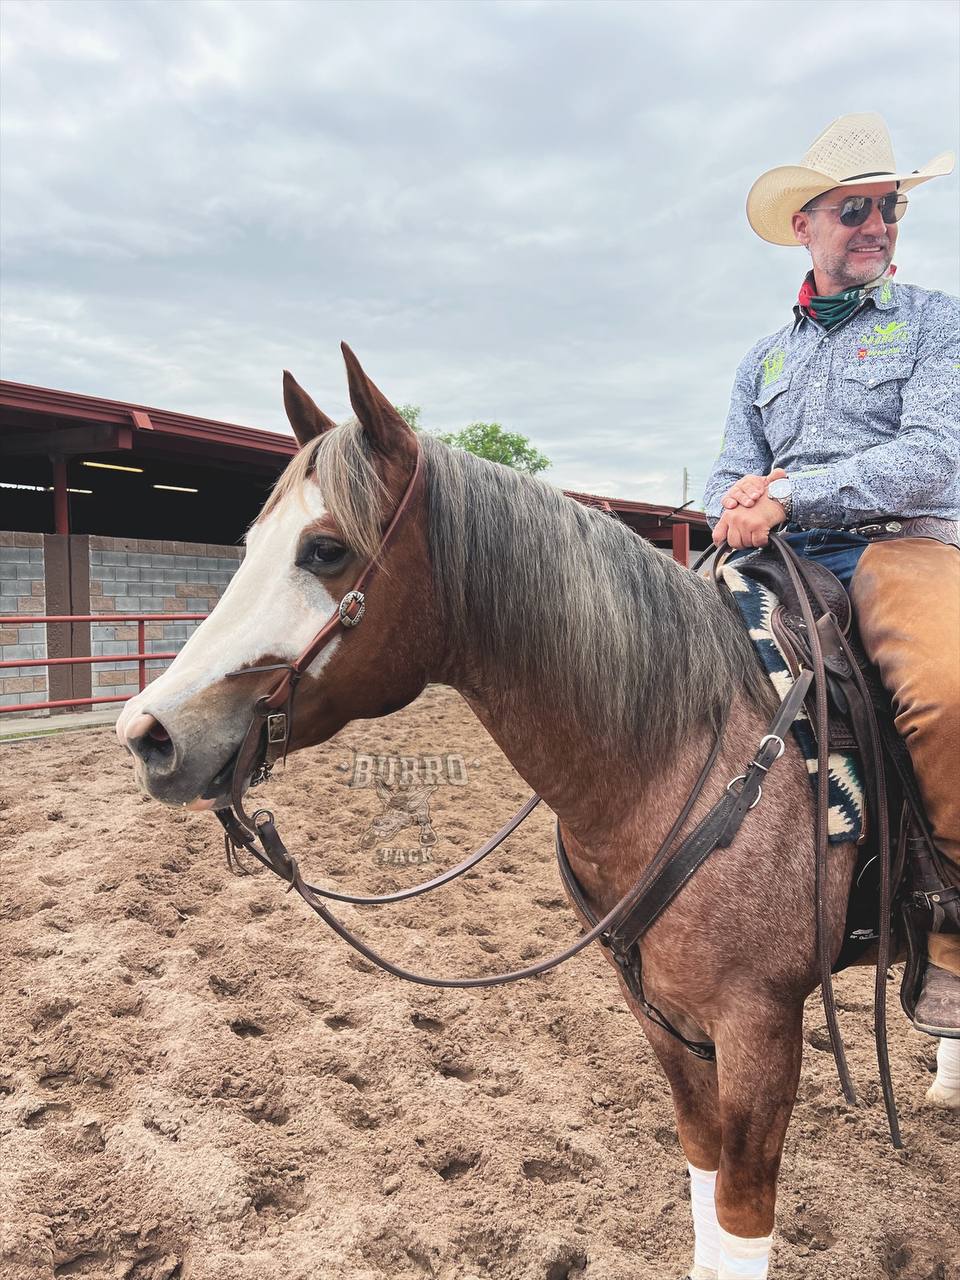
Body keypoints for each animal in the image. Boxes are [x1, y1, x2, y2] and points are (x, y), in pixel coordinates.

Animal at [114, 348, 960, 1280]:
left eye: (326, 548)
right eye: (251, 543)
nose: (148, 733)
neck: (688, 749)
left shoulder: (759, 1026)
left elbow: (739, 1219)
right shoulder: (663, 1015)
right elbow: (702, 1181)